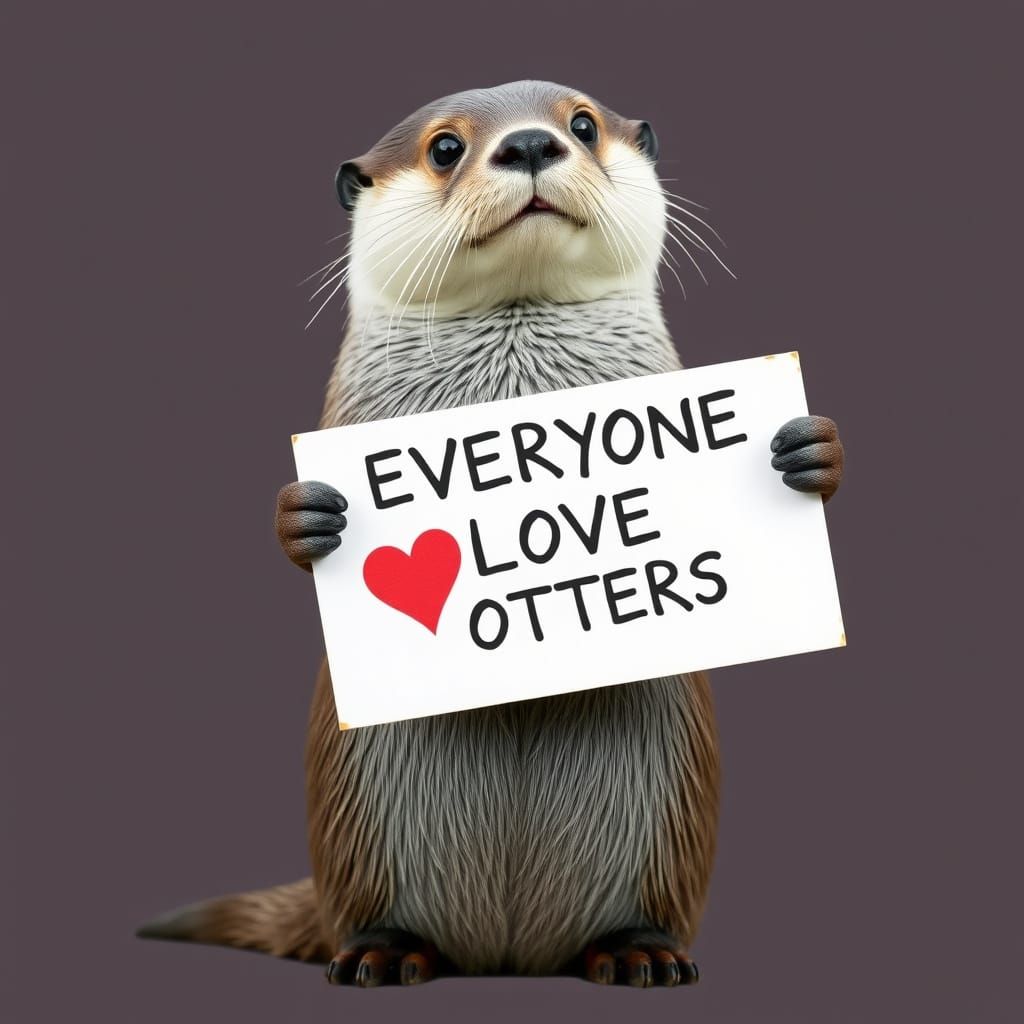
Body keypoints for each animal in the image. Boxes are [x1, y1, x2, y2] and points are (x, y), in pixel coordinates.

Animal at [137, 80, 844, 987]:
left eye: (583, 123)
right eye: (445, 148)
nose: (533, 144)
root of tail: (510, 952)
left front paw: (806, 450)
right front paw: (309, 514)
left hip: (672, 826)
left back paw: (639, 950)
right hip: (353, 823)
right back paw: (383, 954)